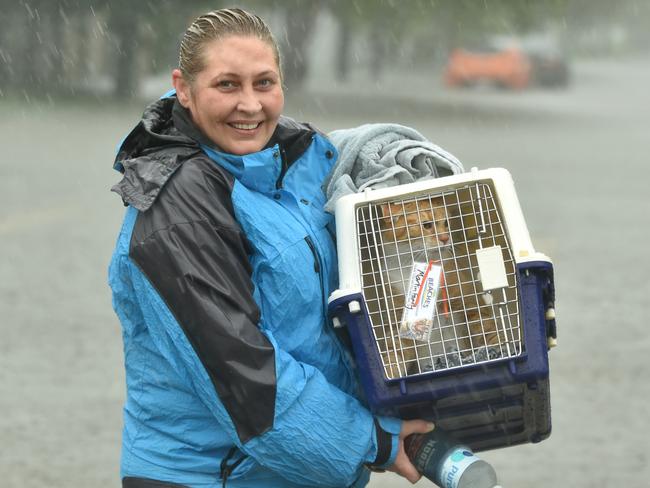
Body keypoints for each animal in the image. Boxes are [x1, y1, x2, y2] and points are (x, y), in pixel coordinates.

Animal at [326, 168, 556, 450]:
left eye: (446, 223)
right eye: (426, 225)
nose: (446, 237)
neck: (412, 266)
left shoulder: (466, 305)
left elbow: (485, 329)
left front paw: (497, 349)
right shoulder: (399, 325)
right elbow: (393, 356)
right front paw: (393, 373)